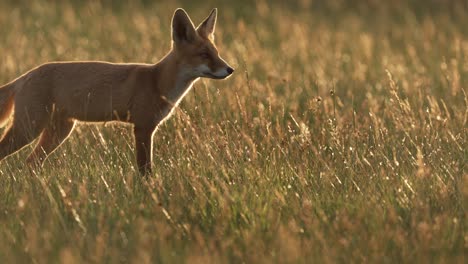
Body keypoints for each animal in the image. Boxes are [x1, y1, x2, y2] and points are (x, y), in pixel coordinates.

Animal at [0, 8, 234, 174]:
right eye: (204, 55)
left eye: (216, 53)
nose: (230, 69)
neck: (157, 81)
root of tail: (26, 75)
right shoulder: (143, 127)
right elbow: (145, 171)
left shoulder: (147, 127)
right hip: (29, 128)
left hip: (59, 131)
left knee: (31, 162)